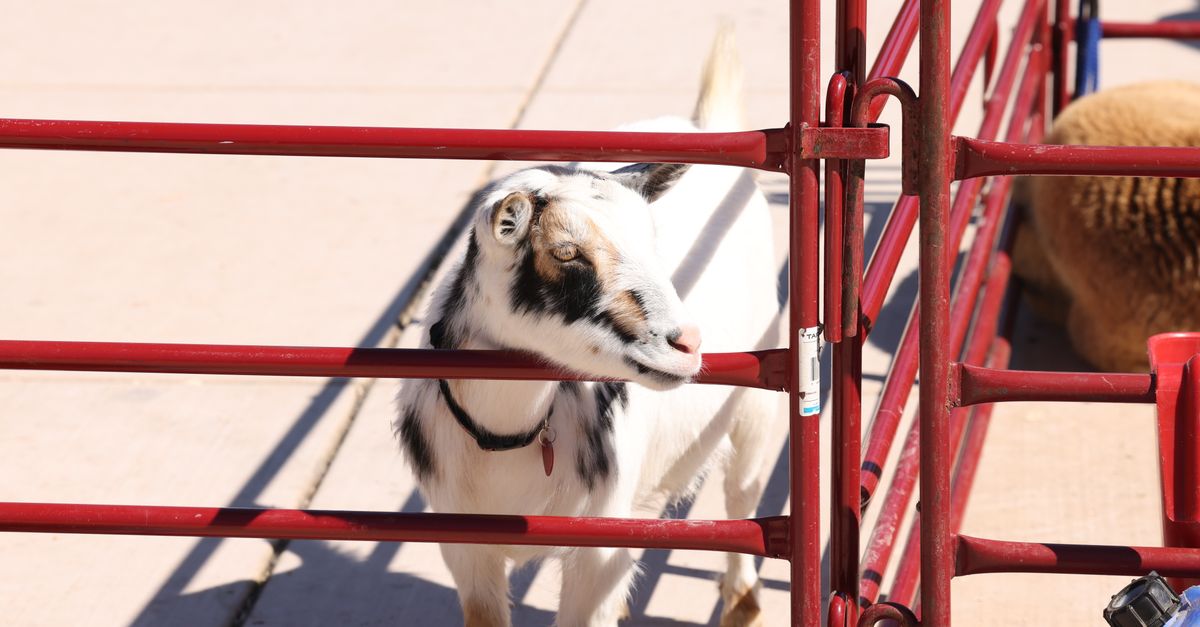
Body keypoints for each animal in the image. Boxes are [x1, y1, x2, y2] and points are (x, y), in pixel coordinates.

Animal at [394, 29, 780, 627]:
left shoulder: (599, 553)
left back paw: (741, 598)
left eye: (652, 237)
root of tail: (703, 122)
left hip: (757, 402)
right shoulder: (467, 550)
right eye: (565, 252)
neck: (505, 440)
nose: (687, 343)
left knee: (743, 491)